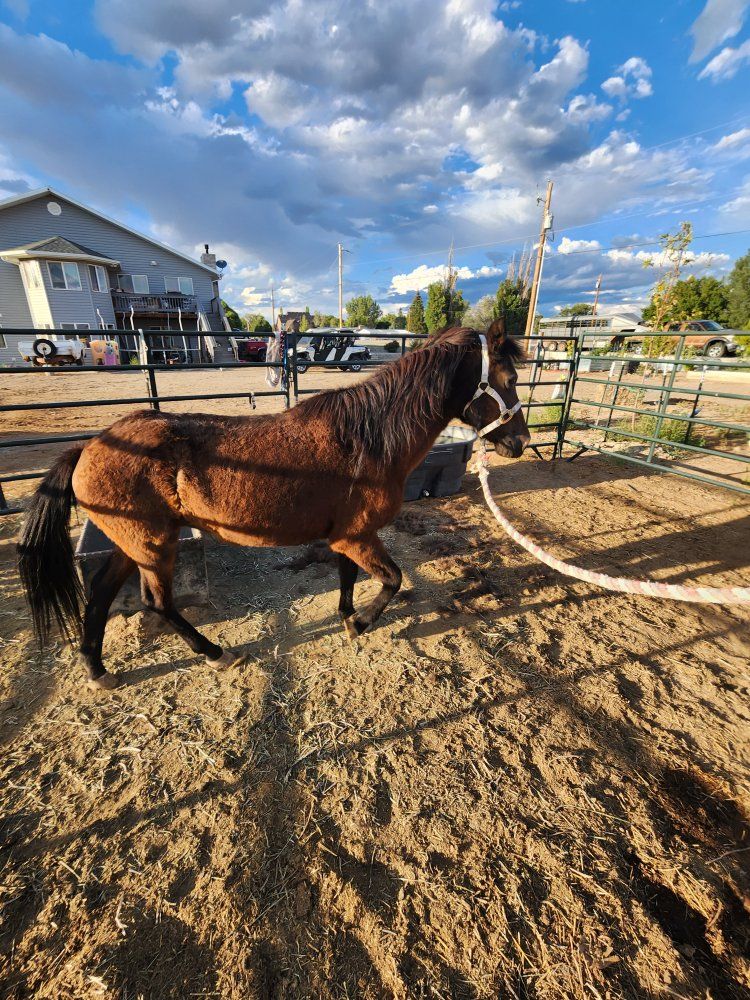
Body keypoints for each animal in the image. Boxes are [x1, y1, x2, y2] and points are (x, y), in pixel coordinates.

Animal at [18, 320, 530, 691]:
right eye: (508, 378)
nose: (521, 442)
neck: (369, 438)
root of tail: (89, 446)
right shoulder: (358, 537)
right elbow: (393, 579)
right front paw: (362, 624)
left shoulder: (349, 536)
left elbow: (348, 580)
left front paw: (348, 619)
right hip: (154, 546)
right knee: (157, 603)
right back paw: (217, 654)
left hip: (133, 545)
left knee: (102, 595)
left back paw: (98, 671)